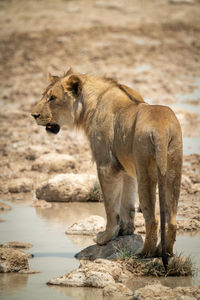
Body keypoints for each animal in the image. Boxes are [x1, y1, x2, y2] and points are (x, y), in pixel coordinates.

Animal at [31, 68, 183, 268]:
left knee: (153, 219)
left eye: (52, 98)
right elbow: (127, 203)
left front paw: (105, 237)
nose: (33, 115)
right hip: (173, 169)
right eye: (44, 95)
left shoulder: (106, 166)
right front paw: (126, 230)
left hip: (146, 172)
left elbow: (111, 207)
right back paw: (165, 251)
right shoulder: (127, 168)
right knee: (172, 220)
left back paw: (146, 253)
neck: (90, 104)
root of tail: (161, 128)